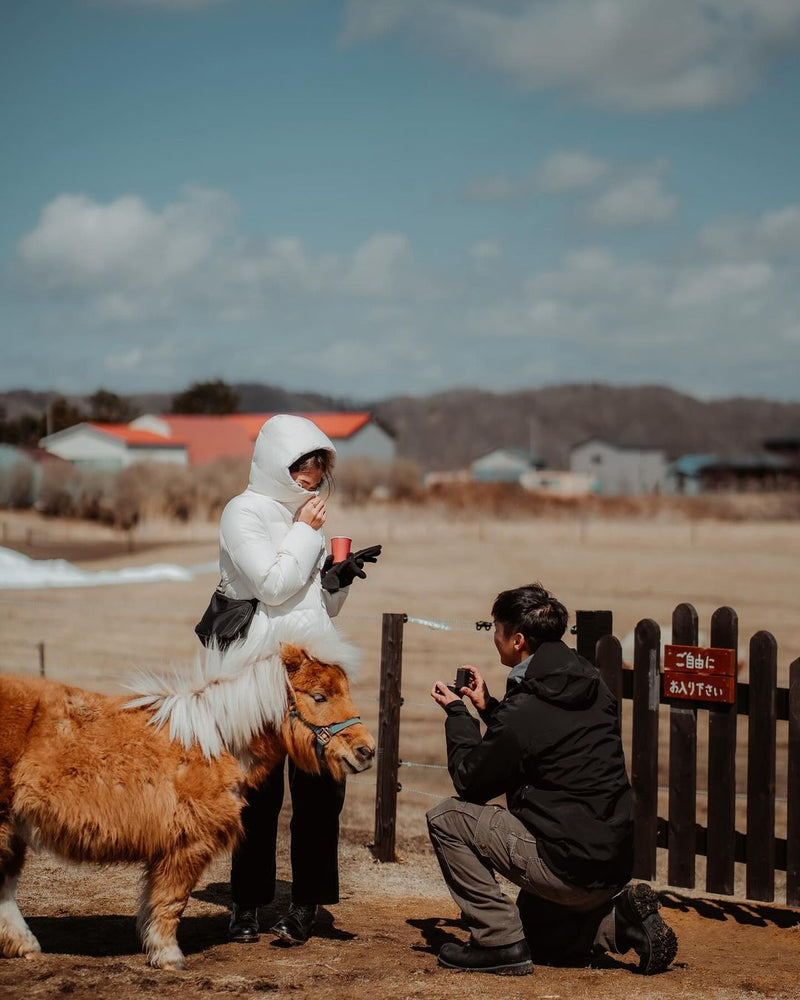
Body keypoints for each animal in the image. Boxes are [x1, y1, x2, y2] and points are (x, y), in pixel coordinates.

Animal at [0, 632, 372, 968]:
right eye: (320, 696)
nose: (365, 751)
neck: (214, 739)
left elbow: (154, 901)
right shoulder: (187, 845)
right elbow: (171, 902)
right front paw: (168, 956)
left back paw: (24, 946)